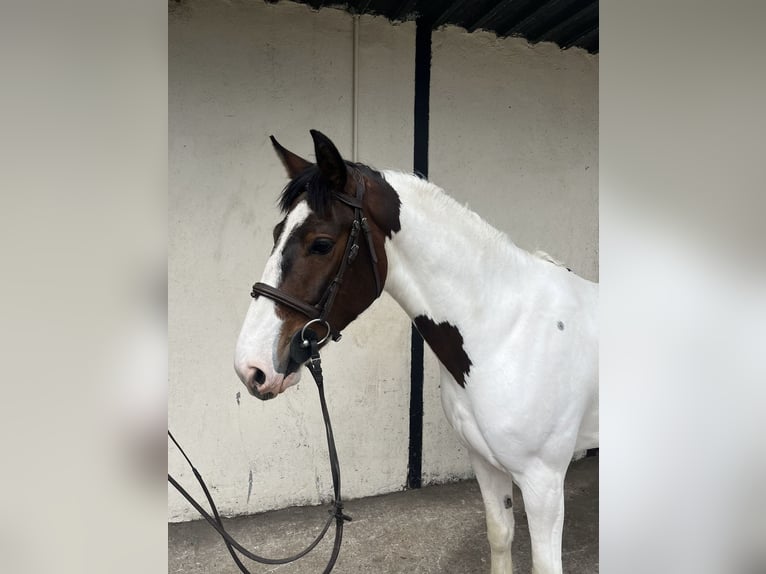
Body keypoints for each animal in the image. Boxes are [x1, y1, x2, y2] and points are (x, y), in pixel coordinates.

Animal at [234, 130, 598, 574]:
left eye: (320, 244)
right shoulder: (486, 463)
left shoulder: (542, 480)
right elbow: (500, 535)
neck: (506, 331)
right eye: (275, 234)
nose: (251, 367)